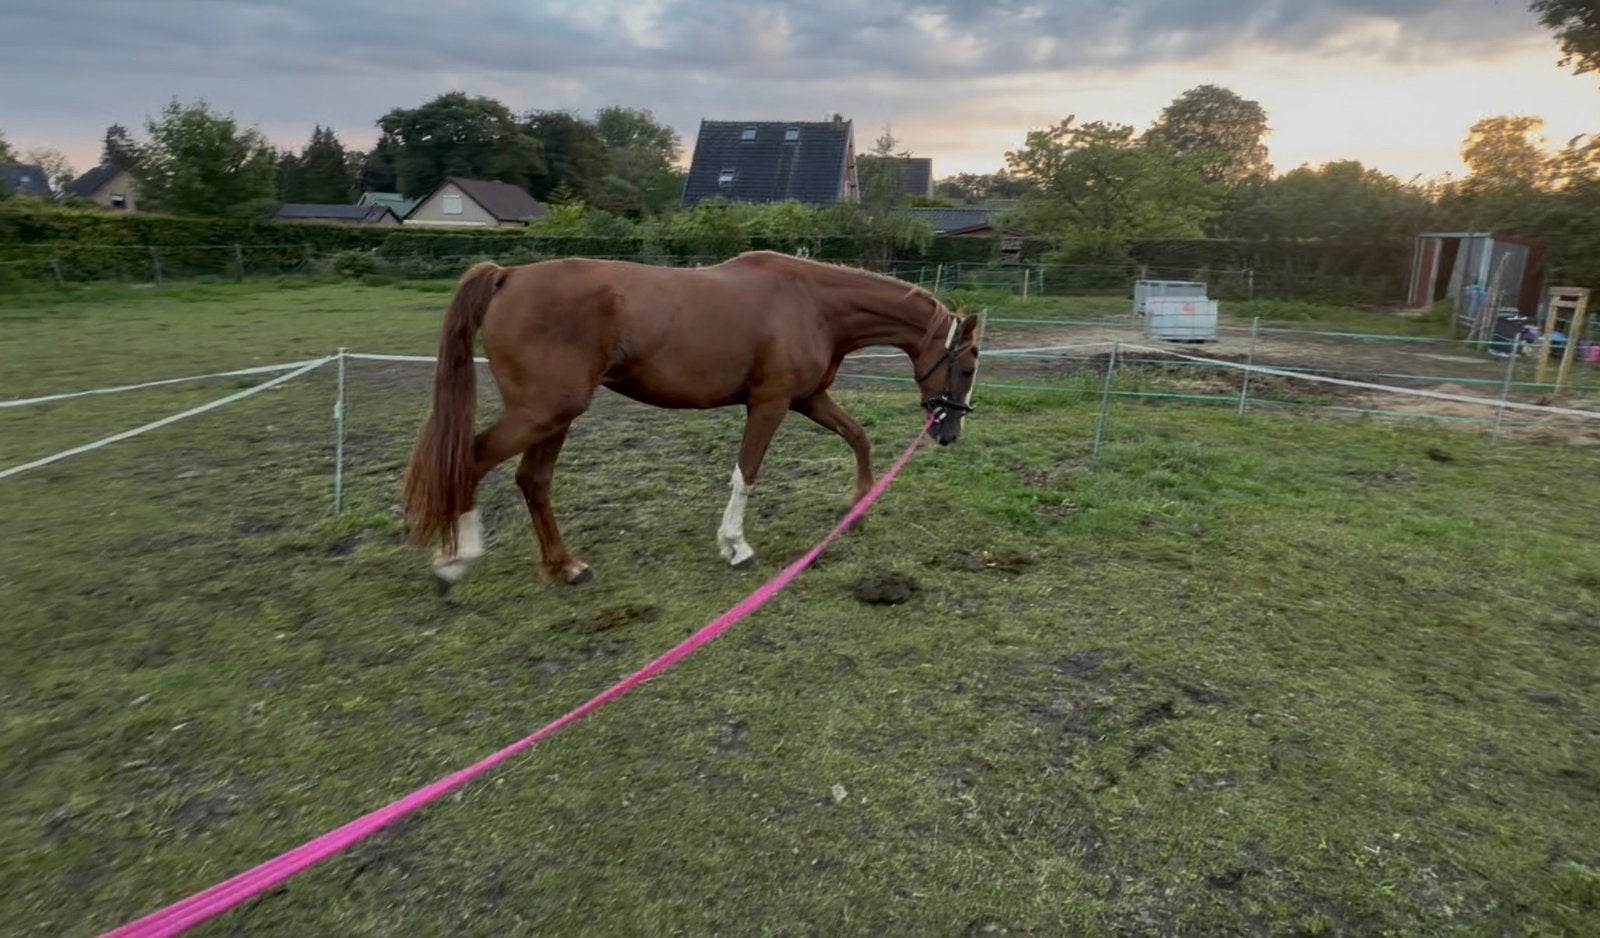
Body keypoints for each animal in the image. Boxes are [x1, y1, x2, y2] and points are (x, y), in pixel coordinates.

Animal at [401, 250, 981, 593]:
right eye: (969, 365)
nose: (950, 432)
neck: (813, 302)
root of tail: (508, 276)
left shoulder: (808, 399)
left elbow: (857, 437)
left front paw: (859, 505)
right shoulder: (770, 403)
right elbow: (747, 473)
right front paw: (736, 546)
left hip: (554, 416)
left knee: (533, 480)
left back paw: (565, 565)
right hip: (541, 412)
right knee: (472, 460)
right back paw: (457, 560)